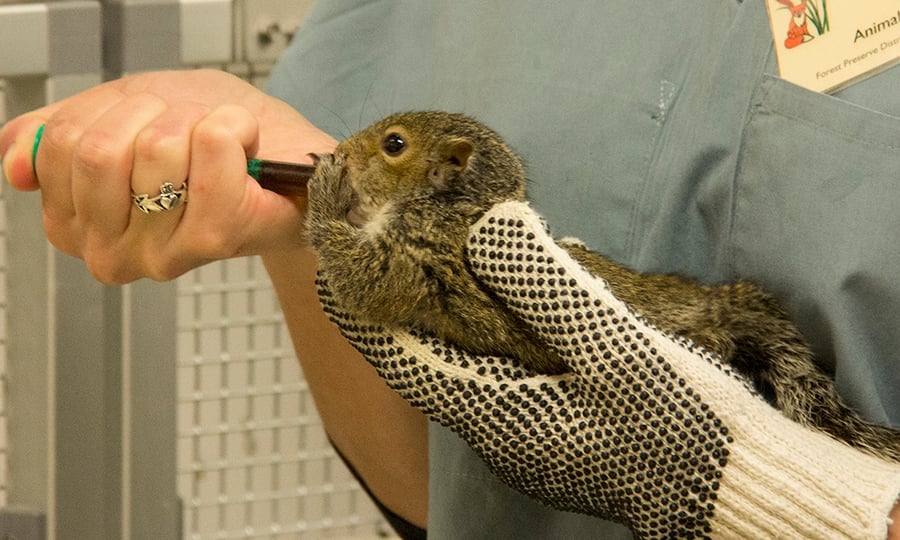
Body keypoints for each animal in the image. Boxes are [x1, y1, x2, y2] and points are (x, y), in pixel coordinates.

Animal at [305, 111, 900, 463]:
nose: (345, 150)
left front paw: (326, 190)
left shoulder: (422, 251)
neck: (452, 204)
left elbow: (365, 278)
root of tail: (715, 309)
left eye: (394, 144)